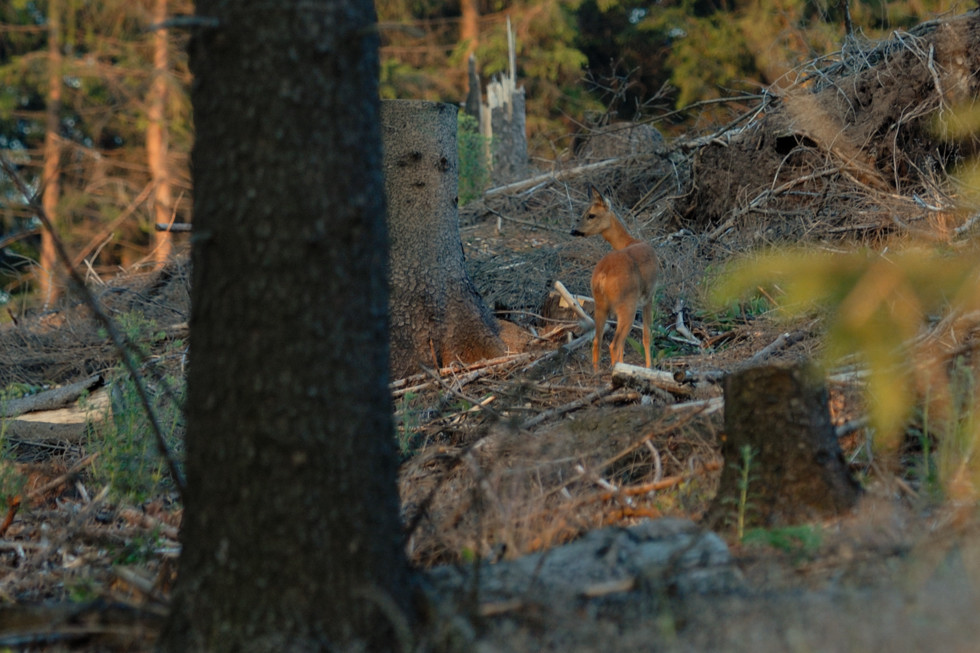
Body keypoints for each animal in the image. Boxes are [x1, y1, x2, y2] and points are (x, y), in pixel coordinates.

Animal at [568, 186, 660, 374]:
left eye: (591, 214)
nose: (574, 230)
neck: (629, 241)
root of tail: (602, 276)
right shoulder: (650, 296)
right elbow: (647, 335)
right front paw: (649, 367)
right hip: (627, 305)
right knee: (614, 344)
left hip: (600, 304)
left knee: (597, 340)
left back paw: (598, 373)